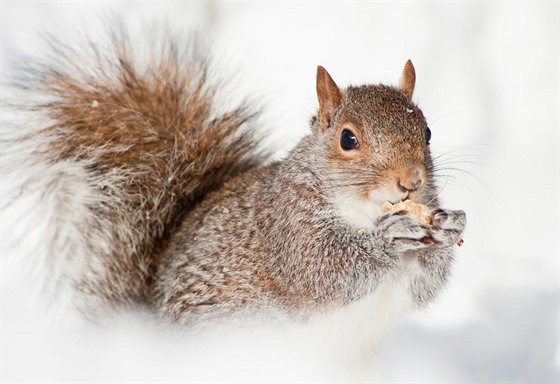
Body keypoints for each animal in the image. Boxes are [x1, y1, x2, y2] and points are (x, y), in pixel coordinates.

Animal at [2, 25, 466, 334]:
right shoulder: (286, 224)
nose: (410, 182)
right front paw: (389, 238)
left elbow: (424, 286)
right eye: (348, 139)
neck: (362, 212)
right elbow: (322, 271)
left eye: (426, 132)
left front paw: (450, 226)